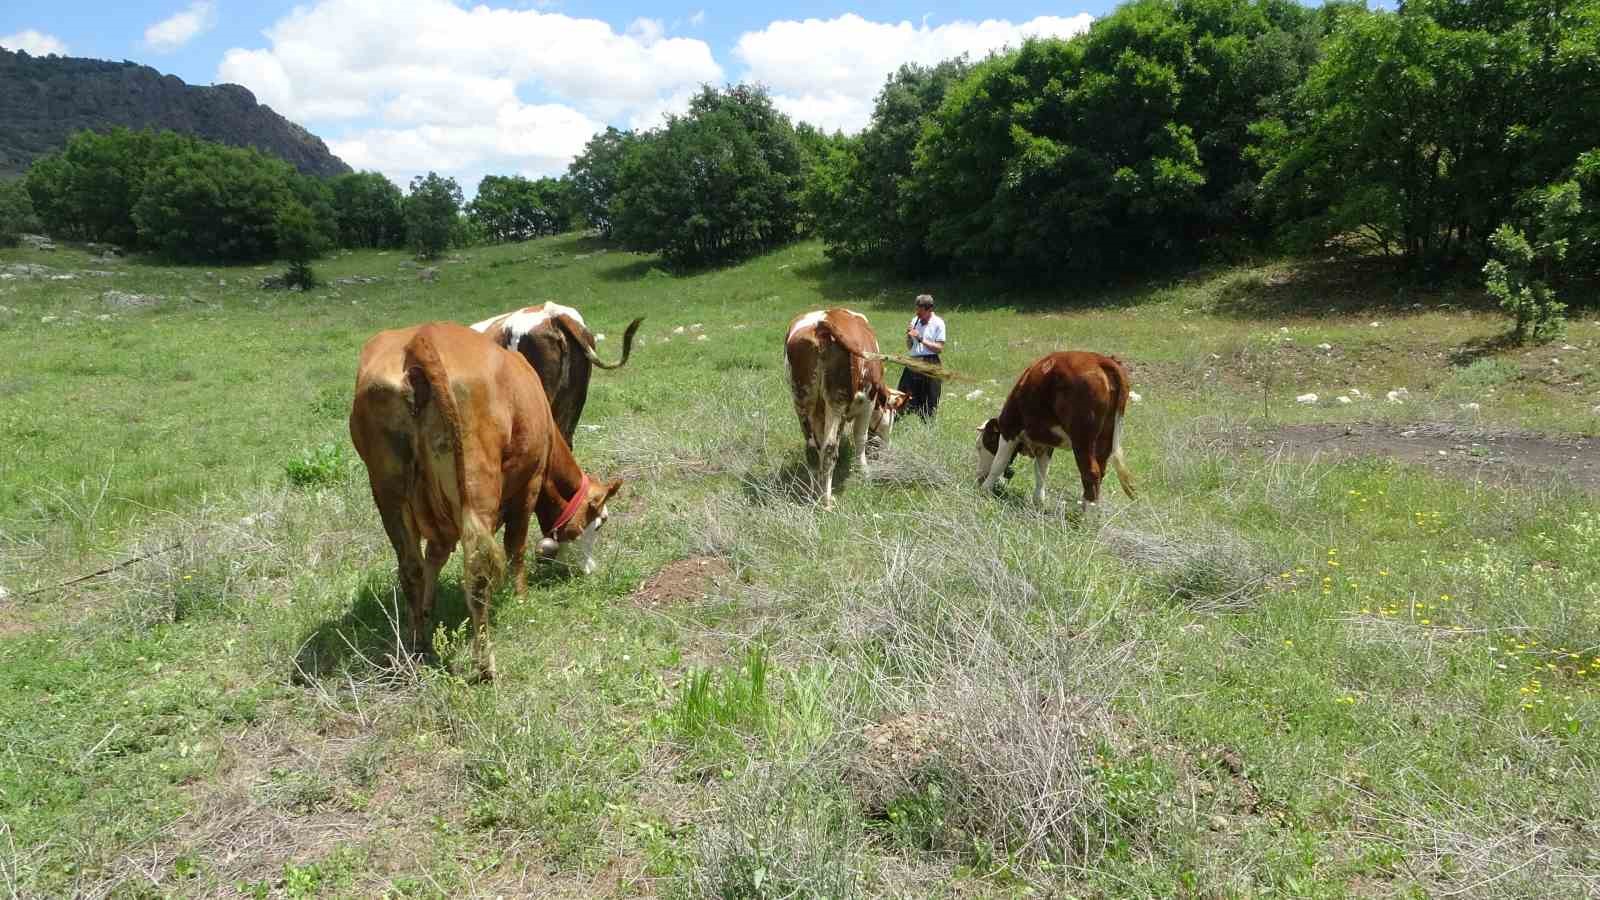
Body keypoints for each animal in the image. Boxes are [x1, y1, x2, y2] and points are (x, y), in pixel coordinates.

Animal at [350, 318, 624, 675]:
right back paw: (484, 665)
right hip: (477, 476)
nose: (590, 570)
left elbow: (434, 558)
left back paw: (417, 645)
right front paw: (520, 595)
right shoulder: (530, 484)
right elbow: (515, 546)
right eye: (600, 522)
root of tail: (421, 338)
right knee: (478, 566)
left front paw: (428, 608)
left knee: (411, 568)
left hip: (388, 489)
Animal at [787, 305, 915, 506]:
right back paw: (827, 501)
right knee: (829, 448)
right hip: (837, 401)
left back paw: (813, 492)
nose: (888, 447)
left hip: (801, 398)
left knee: (813, 448)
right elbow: (860, 437)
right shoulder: (868, 403)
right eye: (892, 417)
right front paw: (865, 472)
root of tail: (822, 323)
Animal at [972, 349, 1139, 512]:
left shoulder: (1010, 430)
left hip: (1082, 439)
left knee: (1091, 473)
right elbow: (1041, 473)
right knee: (1100, 472)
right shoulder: (1045, 445)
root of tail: (1100, 360)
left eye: (981, 446)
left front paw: (984, 490)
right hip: (1105, 438)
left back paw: (1085, 517)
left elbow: (998, 463)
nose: (979, 475)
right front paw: (1039, 502)